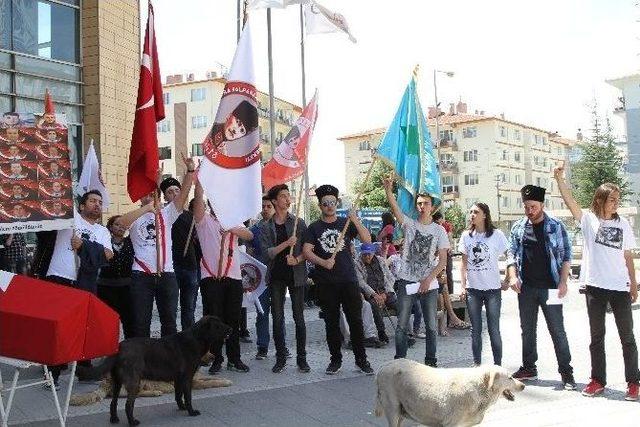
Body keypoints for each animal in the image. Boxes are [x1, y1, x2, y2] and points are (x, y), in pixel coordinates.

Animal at [78, 316, 231, 426]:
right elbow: (188, 397)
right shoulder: (187, 378)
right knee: (128, 405)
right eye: (218, 326)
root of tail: (119, 347)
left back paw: (114, 419)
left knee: (113, 402)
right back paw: (132, 422)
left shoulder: (178, 379)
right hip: (134, 382)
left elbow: (178, 395)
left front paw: (181, 407)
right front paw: (191, 411)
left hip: (117, 382)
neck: (196, 338)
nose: (231, 329)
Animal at [376, 360, 524, 426]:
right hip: (392, 408)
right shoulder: (451, 424)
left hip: (401, 411)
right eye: (510, 377)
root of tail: (383, 367)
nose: (523, 386)